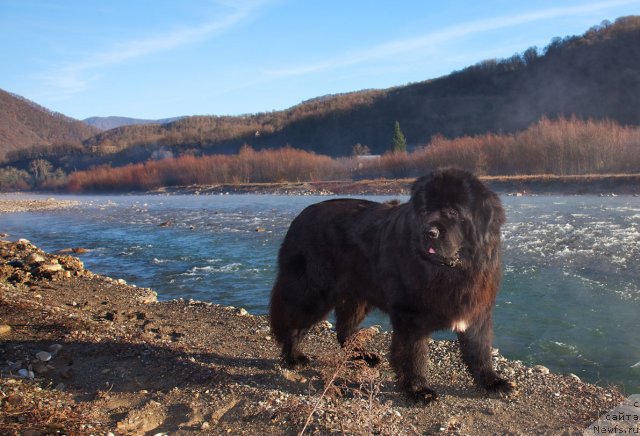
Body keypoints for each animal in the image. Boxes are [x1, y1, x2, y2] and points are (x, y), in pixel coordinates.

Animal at [270, 168, 516, 402]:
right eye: (424, 212)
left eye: (453, 212)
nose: (429, 232)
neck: (450, 269)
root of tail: (299, 217)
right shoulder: (410, 316)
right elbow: (413, 355)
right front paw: (418, 390)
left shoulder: (476, 310)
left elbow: (479, 350)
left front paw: (492, 382)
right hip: (312, 293)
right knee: (293, 323)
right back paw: (294, 357)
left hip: (357, 296)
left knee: (344, 330)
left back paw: (361, 356)